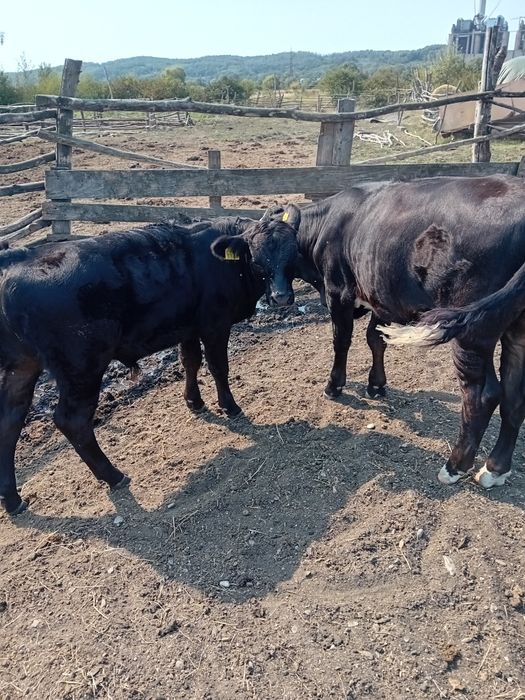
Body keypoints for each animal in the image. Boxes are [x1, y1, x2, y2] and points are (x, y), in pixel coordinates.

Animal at [0, 217, 299, 516]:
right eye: (257, 259)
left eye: (293, 253)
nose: (281, 297)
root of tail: (21, 256)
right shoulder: (215, 324)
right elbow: (218, 367)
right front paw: (229, 406)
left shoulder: (187, 326)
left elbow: (190, 361)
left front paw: (194, 401)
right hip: (82, 367)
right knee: (72, 421)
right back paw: (113, 476)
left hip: (23, 366)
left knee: (9, 422)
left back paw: (12, 499)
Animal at [264, 174, 525, 489]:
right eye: (256, 253)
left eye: (287, 250)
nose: (279, 297)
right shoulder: (379, 294)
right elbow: (375, 340)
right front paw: (376, 385)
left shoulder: (338, 293)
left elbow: (341, 341)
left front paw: (334, 386)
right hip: (517, 331)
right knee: (514, 396)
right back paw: (495, 469)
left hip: (474, 333)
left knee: (483, 395)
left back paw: (454, 466)